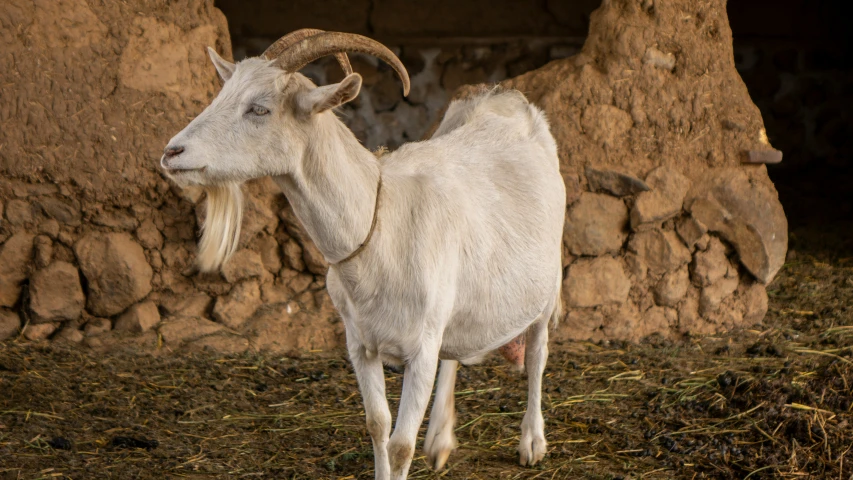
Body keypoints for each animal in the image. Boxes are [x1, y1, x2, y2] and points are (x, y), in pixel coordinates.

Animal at [163, 31, 564, 480]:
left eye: (259, 108)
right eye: (223, 94)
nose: (172, 152)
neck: (378, 225)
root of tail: (504, 96)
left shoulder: (420, 349)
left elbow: (401, 445)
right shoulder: (360, 343)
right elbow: (377, 426)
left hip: (547, 283)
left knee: (538, 353)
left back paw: (532, 441)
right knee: (454, 354)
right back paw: (440, 440)